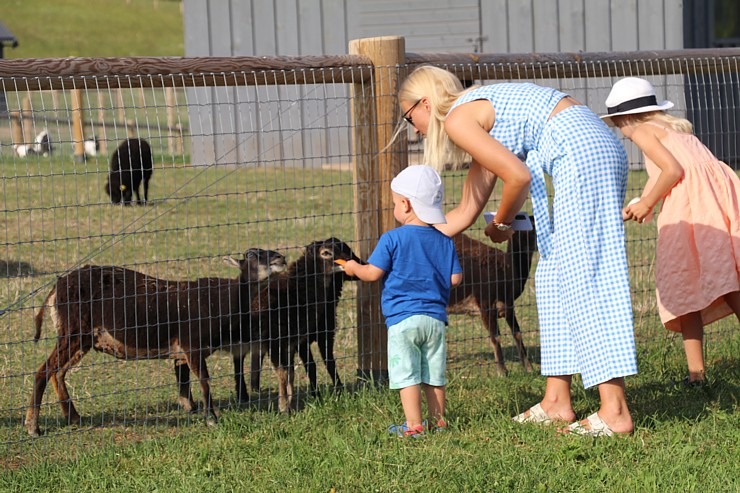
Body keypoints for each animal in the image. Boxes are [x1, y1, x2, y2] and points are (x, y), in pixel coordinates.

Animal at [26, 248, 286, 436]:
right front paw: (211, 418)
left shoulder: (182, 353)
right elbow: (204, 381)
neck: (220, 302)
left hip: (82, 339)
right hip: (73, 333)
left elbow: (184, 383)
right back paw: (33, 427)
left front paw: (191, 409)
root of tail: (55, 289)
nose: (281, 259)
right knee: (43, 371)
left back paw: (73, 417)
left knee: (58, 373)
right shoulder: (193, 345)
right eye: (251, 255)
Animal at [450, 217, 536, 374]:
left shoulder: (508, 304)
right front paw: (502, 372)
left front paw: (529, 368)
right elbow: (495, 337)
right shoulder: (485, 302)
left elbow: (517, 333)